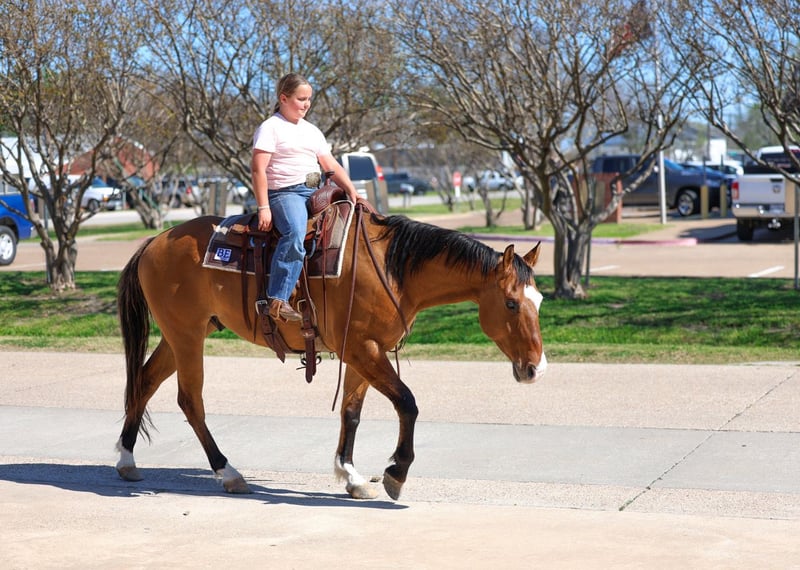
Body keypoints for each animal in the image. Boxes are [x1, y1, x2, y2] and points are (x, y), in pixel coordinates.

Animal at [115, 204, 547, 500]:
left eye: (539, 301)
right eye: (511, 304)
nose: (535, 369)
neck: (392, 268)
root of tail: (154, 242)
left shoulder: (363, 351)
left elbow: (352, 413)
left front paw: (351, 476)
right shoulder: (362, 348)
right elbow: (407, 403)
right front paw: (396, 472)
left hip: (182, 335)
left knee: (145, 382)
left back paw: (126, 459)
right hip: (187, 336)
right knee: (190, 400)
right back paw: (228, 472)